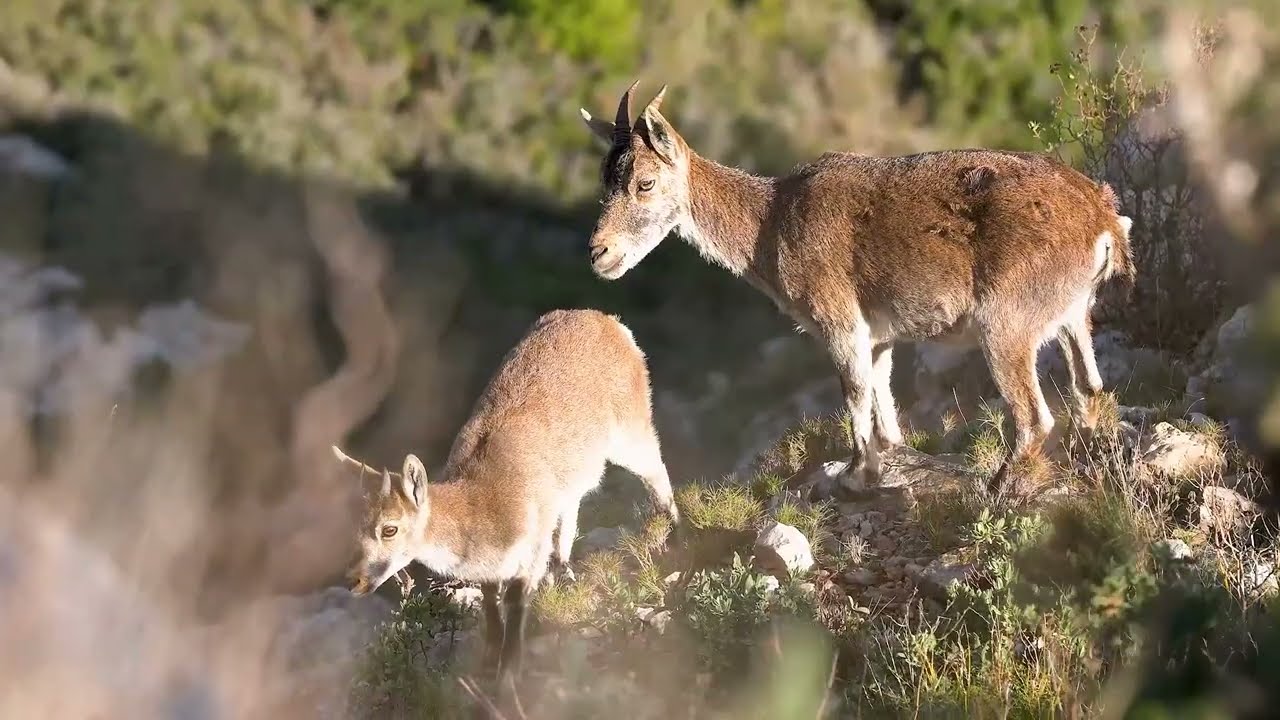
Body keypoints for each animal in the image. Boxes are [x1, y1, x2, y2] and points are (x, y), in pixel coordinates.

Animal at [334, 308, 681, 683]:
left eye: (390, 528)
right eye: (356, 525)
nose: (353, 580)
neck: (481, 503)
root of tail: (611, 323)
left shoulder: (528, 555)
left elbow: (514, 613)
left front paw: (508, 677)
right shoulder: (493, 568)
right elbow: (491, 608)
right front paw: (487, 665)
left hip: (630, 431)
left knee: (658, 473)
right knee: (571, 508)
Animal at [579, 81, 1135, 494]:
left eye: (645, 183)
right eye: (604, 180)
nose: (599, 253)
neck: (769, 223)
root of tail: (1103, 221)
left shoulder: (840, 323)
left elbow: (853, 392)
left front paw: (855, 474)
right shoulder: (881, 333)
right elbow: (881, 393)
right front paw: (887, 458)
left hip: (1007, 325)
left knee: (1036, 416)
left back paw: (998, 484)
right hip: (1073, 314)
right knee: (1089, 387)